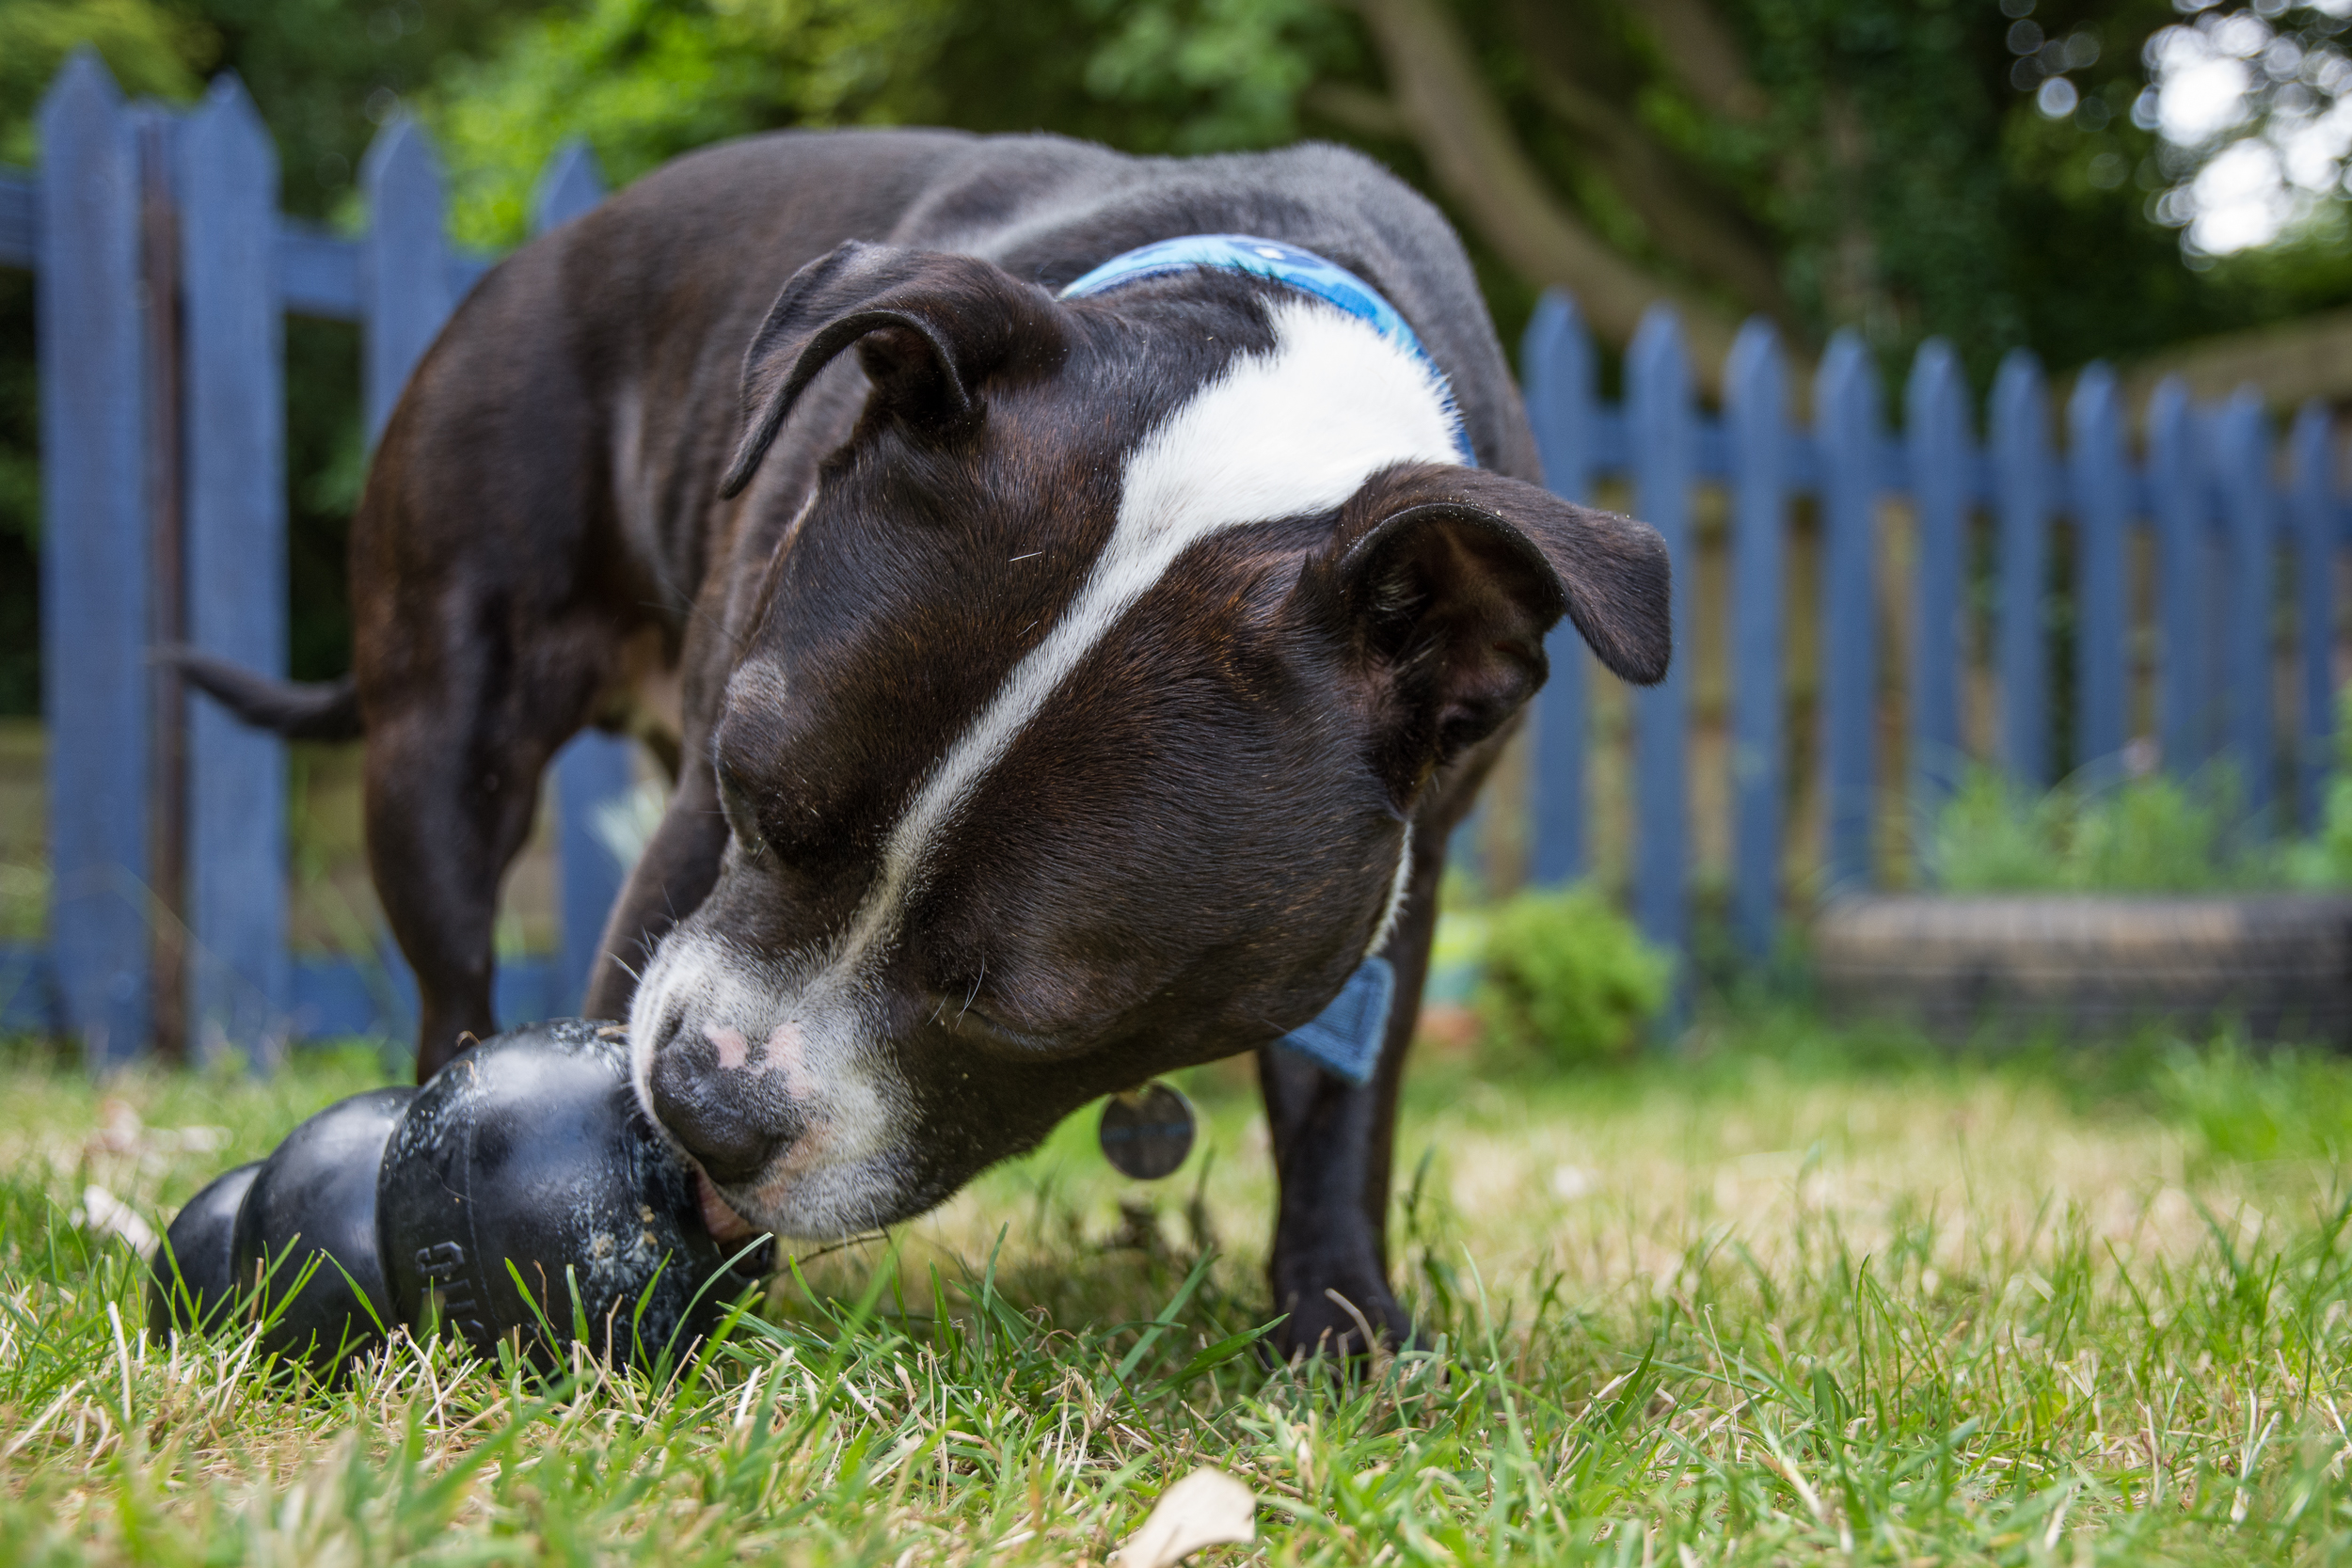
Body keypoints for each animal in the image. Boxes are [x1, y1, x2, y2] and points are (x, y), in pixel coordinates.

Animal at [202, 131, 1675, 1363]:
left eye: (1027, 1010)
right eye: (750, 794)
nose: (702, 1106)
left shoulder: (1386, 888)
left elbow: (1337, 1110)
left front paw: (1341, 1322)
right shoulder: (684, 845)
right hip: (442, 742)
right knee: (450, 966)